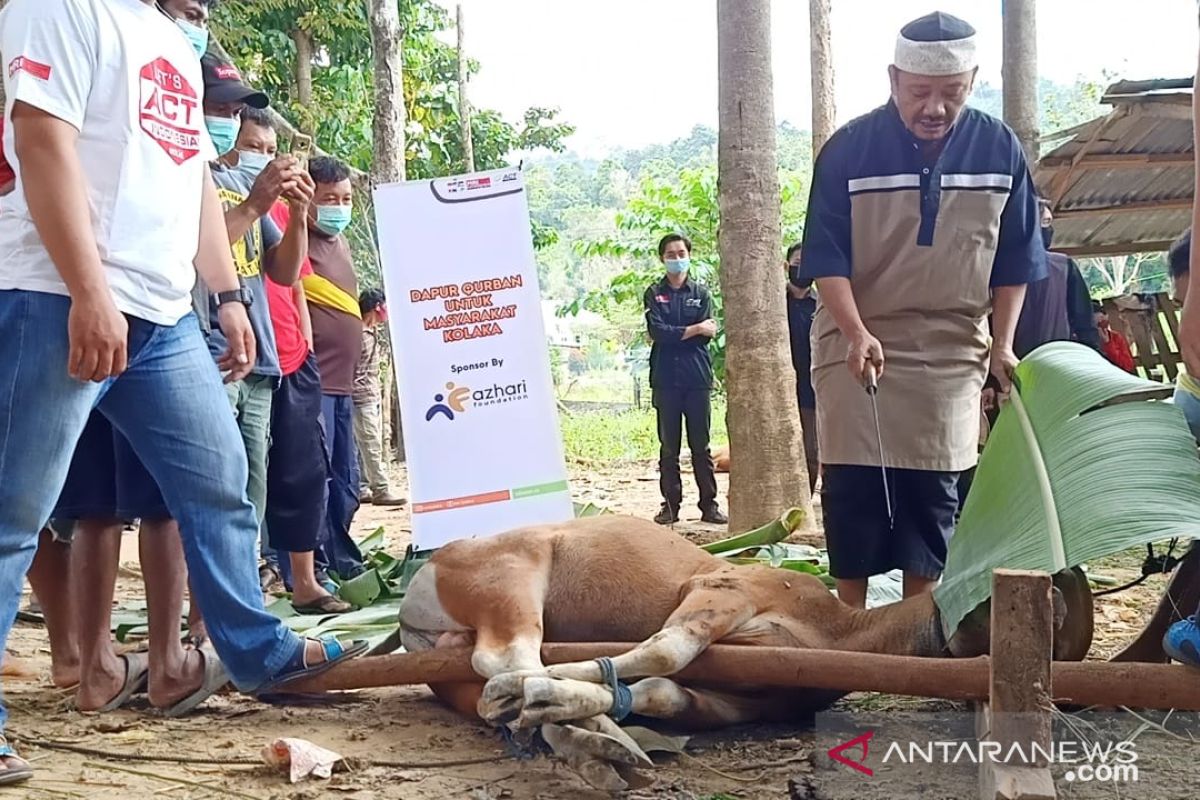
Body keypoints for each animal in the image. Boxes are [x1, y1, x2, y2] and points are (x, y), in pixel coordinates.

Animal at [398, 515, 1094, 791]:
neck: (838, 632)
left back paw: (595, 743)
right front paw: (553, 693)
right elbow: (664, 651)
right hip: (516, 576)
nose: (1060, 703)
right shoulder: (722, 591)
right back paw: (559, 713)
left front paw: (594, 718)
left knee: (489, 681)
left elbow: (661, 689)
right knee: (506, 661)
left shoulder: (734, 699)